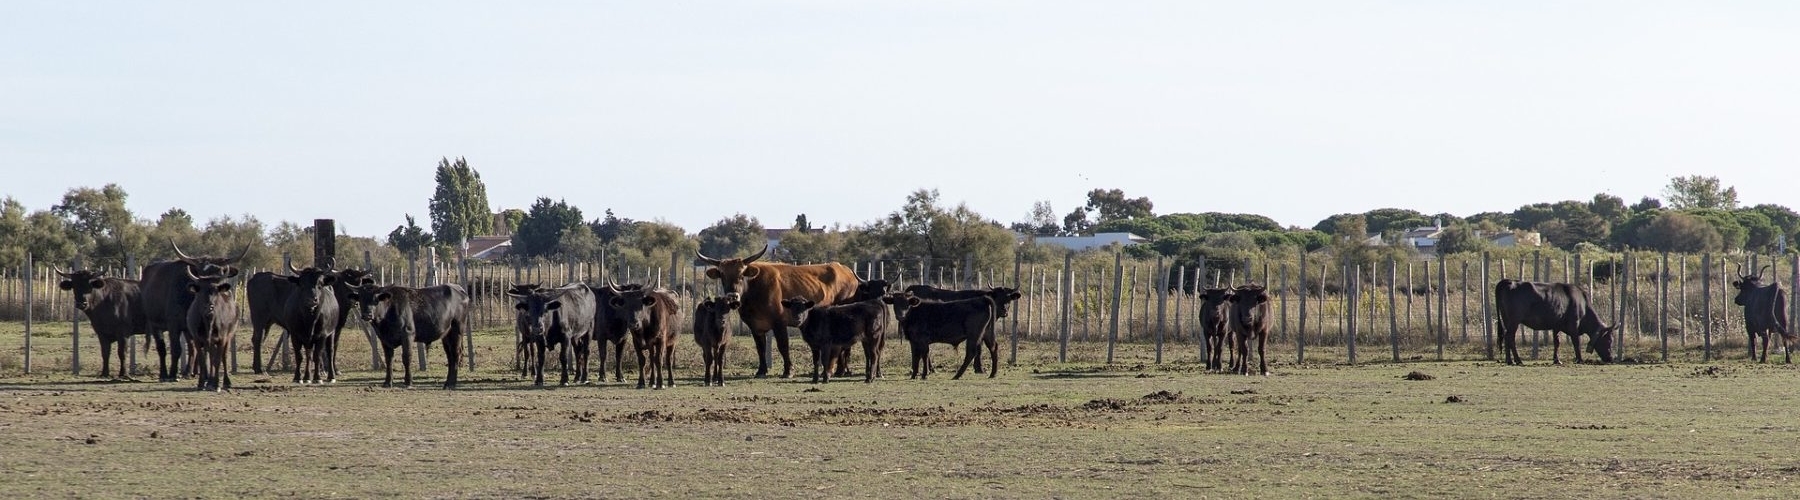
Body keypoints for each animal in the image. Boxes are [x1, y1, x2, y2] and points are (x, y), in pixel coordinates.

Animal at [1490, 278, 1620, 365]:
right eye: (1609, 340)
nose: (1611, 358)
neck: (1583, 304)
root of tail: (1509, 281)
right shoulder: (1574, 324)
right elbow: (1576, 342)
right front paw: (1579, 359)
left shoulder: (1556, 325)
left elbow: (1557, 342)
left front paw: (1557, 360)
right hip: (1514, 321)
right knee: (1509, 337)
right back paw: (1516, 360)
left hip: (1507, 320)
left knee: (1506, 337)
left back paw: (1509, 360)